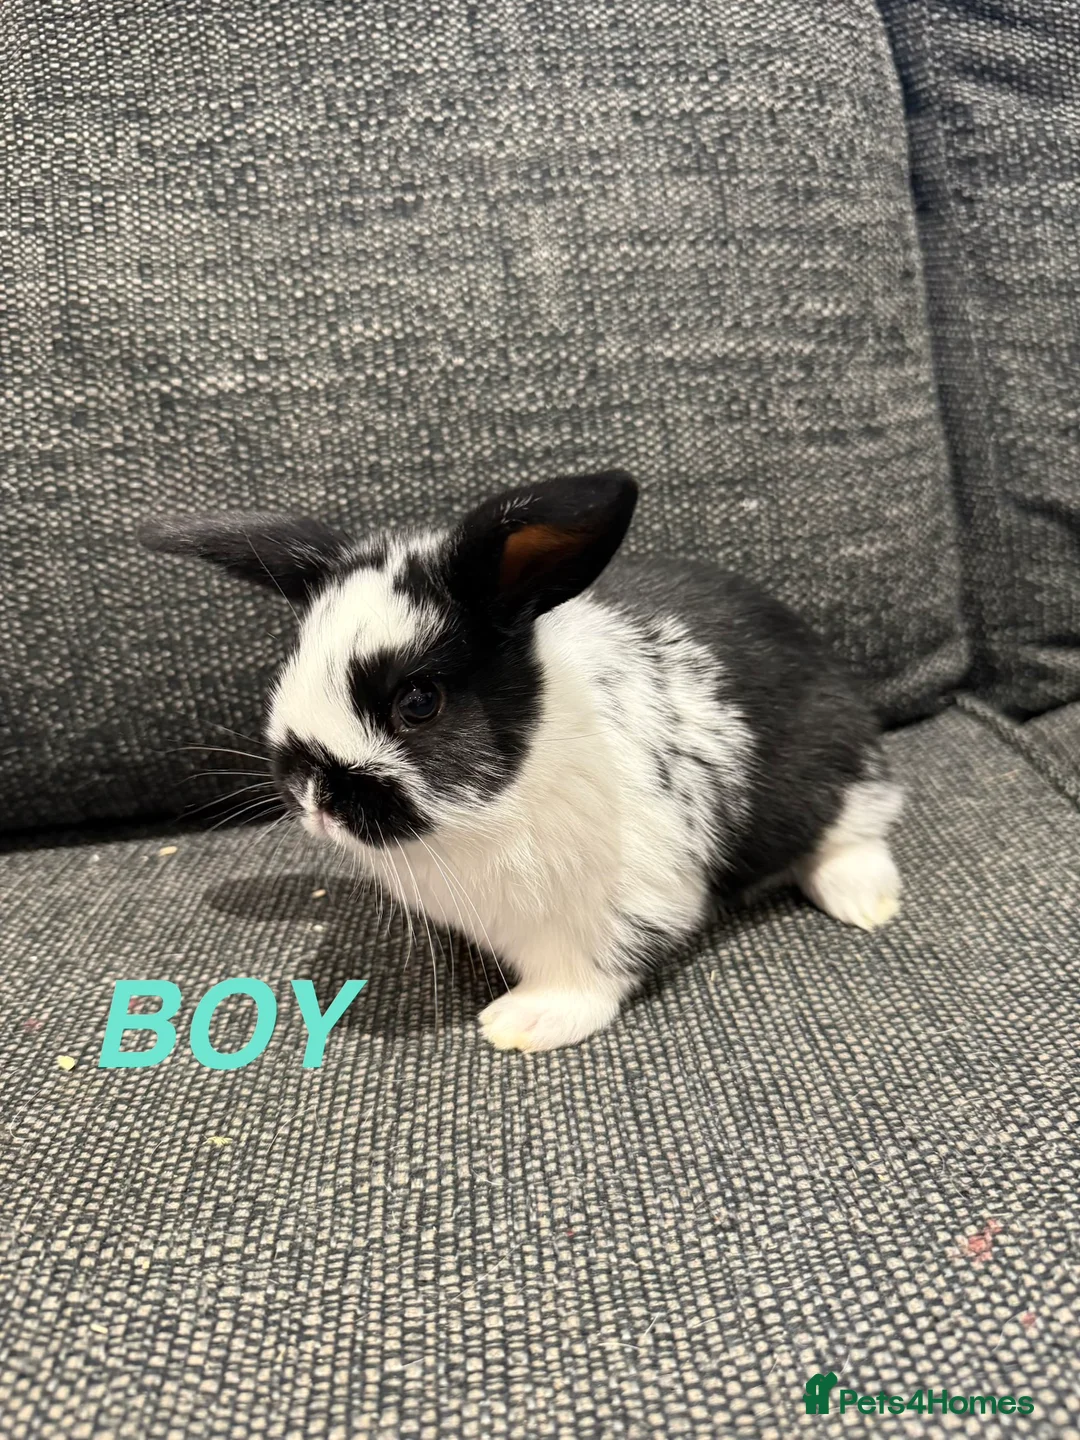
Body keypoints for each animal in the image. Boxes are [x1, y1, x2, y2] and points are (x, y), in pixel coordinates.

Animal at [140, 471, 902, 1052]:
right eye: (293, 662)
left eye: (419, 701)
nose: (312, 795)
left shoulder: (623, 905)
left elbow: (587, 975)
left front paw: (521, 1024)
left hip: (834, 774)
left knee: (856, 828)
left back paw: (867, 904)